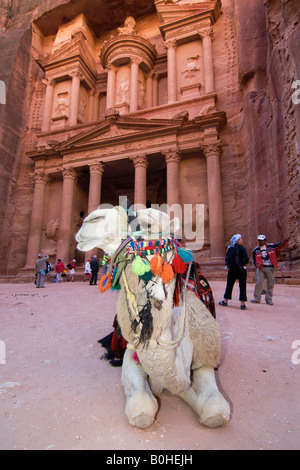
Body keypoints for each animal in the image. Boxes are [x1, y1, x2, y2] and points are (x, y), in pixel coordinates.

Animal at [76, 207, 231, 428]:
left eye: (147, 223)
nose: (90, 220)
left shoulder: (204, 358)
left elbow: (215, 412)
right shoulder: (132, 355)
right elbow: (142, 411)